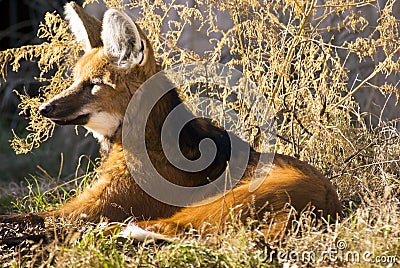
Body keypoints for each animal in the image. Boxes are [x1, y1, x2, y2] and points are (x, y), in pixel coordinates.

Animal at [1, 2, 342, 239]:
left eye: (93, 85)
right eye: (75, 80)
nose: (44, 108)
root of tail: (330, 204)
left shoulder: (97, 208)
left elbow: (29, 217)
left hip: (222, 200)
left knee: (160, 229)